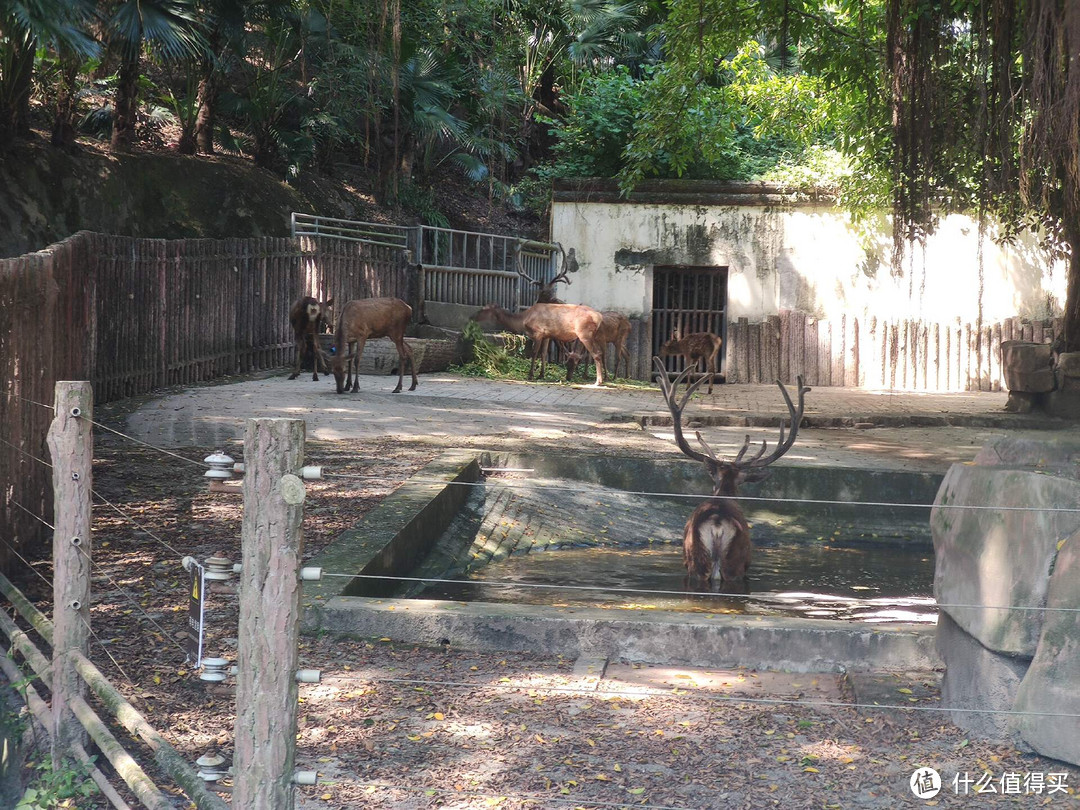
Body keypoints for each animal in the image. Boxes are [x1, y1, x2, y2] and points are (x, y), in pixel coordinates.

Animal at [473, 304, 609, 386]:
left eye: (484, 309)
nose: (472, 317)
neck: (523, 320)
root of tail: (599, 317)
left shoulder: (538, 333)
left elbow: (534, 353)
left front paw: (530, 375)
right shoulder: (546, 335)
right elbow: (543, 354)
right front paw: (541, 374)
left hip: (584, 333)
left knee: (596, 354)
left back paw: (598, 381)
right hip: (593, 335)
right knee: (598, 353)